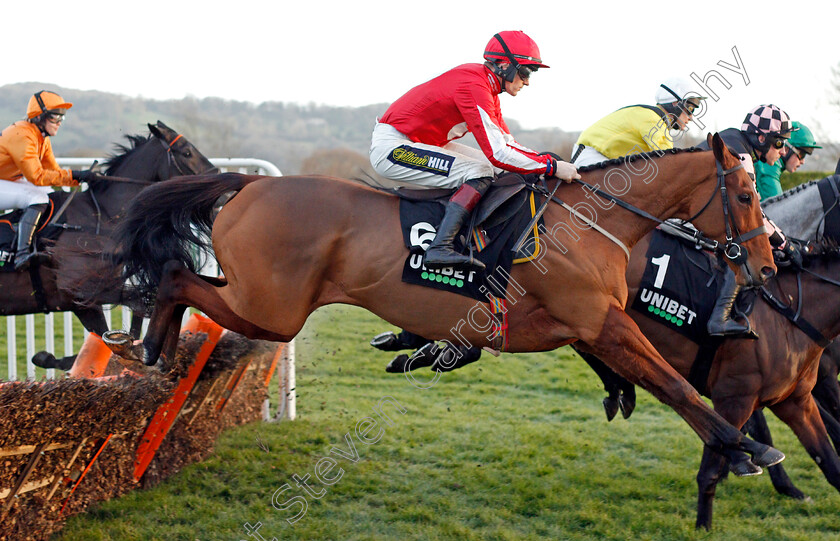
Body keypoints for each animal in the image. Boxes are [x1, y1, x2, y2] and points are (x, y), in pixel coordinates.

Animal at [0, 120, 217, 370]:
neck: (99, 217)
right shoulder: (81, 290)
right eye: (187, 152)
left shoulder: (83, 303)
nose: (218, 179)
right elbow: (135, 306)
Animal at [100, 134, 780, 476]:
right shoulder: (599, 321)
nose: (770, 262)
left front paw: (732, 445)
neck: (595, 221)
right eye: (747, 194)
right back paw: (148, 345)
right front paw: (746, 448)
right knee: (175, 276)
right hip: (272, 307)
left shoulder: (587, 327)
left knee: (180, 280)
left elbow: (660, 382)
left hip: (265, 303)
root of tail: (250, 183)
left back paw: (150, 347)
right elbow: (677, 385)